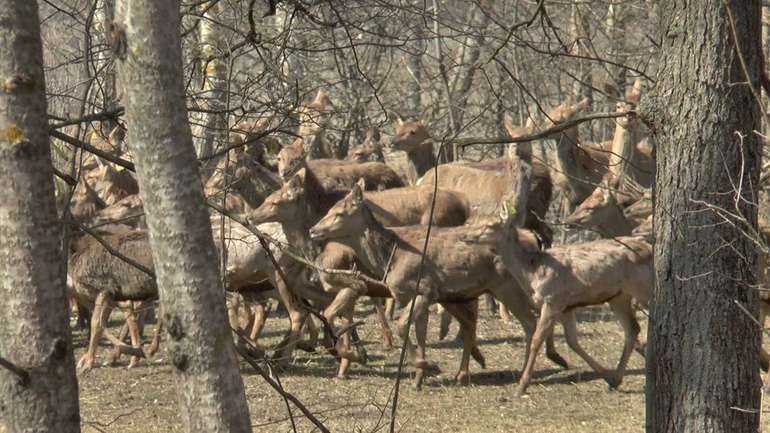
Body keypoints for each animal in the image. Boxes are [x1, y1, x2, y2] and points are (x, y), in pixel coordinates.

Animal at [308, 180, 568, 388]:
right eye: (329, 209)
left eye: (339, 213)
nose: (313, 230)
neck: (391, 257)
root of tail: (534, 239)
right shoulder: (419, 295)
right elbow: (420, 333)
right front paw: (419, 377)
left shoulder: (425, 290)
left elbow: (402, 326)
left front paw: (429, 366)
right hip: (460, 294)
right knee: (479, 322)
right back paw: (465, 374)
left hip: (508, 286)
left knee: (531, 320)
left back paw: (533, 369)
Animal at [464, 202, 652, 394]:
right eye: (478, 220)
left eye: (490, 225)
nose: (465, 236)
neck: (532, 272)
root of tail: (649, 249)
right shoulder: (566, 306)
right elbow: (572, 341)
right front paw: (607, 375)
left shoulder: (552, 299)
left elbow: (537, 339)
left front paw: (521, 386)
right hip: (618, 296)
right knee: (632, 329)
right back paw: (616, 378)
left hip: (643, 288)